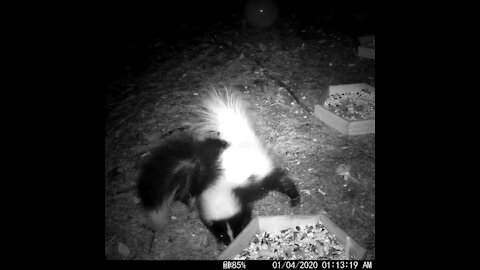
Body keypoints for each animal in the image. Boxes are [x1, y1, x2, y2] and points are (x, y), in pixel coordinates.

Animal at [137, 87, 300, 246]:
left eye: (238, 226)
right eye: (221, 232)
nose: (231, 241)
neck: (221, 188)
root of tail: (240, 143)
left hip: (262, 171)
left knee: (281, 181)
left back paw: (294, 198)